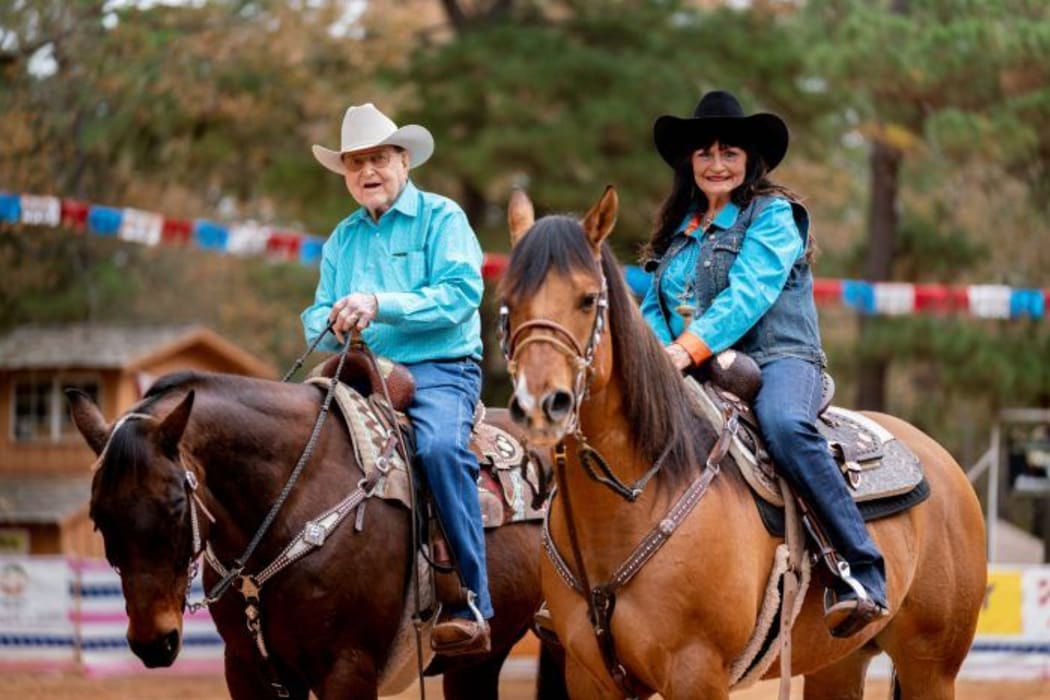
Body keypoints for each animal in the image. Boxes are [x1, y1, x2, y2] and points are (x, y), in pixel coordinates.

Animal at [65, 369, 567, 696]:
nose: (154, 641)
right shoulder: (249, 671)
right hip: (478, 663)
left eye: (174, 506)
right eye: (98, 517)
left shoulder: (346, 669)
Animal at [495, 187, 986, 700]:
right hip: (839, 663)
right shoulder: (589, 677)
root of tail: (943, 463)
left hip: (931, 666)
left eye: (588, 298)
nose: (541, 402)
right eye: (507, 301)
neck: (632, 501)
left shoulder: (696, 672)